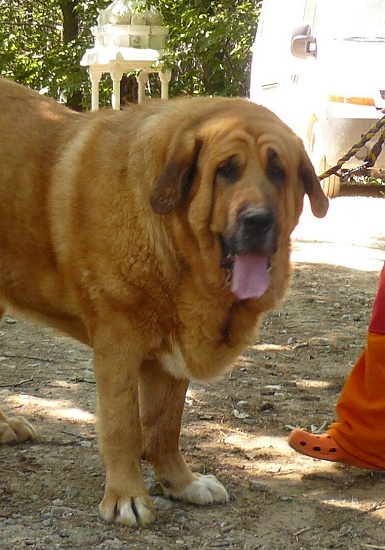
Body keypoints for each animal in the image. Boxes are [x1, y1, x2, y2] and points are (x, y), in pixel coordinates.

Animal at [0, 77, 328, 528]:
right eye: (226, 170)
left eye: (278, 171)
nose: (258, 220)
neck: (176, 249)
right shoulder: (118, 345)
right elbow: (123, 426)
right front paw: (126, 496)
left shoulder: (171, 357)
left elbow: (163, 426)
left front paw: (181, 483)